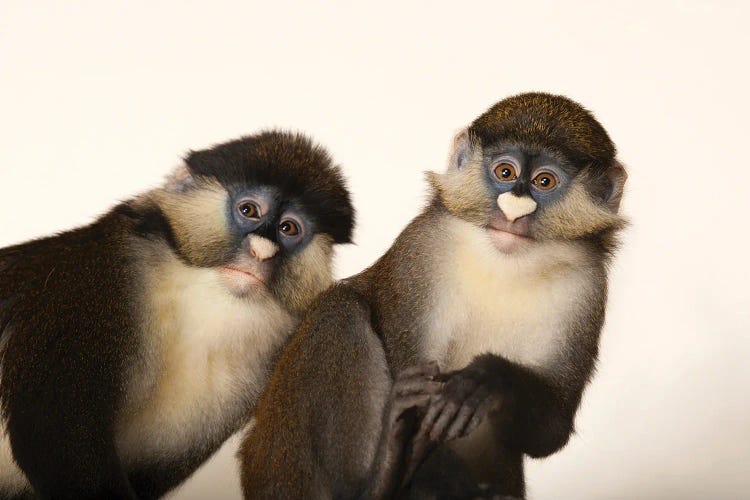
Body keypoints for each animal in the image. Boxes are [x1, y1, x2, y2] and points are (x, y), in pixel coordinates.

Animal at [241, 92, 628, 498]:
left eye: (544, 180)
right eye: (505, 173)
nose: (513, 211)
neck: (503, 264)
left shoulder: (587, 287)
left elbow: (552, 429)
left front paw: (487, 381)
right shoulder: (421, 248)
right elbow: (412, 380)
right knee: (338, 310)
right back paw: (381, 475)